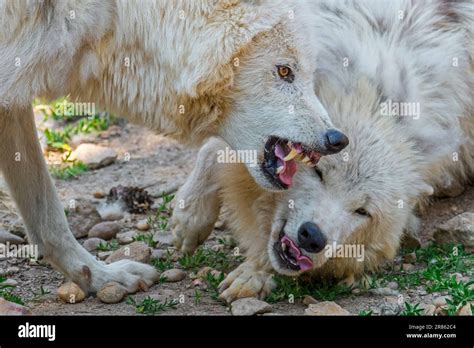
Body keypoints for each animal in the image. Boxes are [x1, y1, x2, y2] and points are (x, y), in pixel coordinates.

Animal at [0, 0, 348, 294]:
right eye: (284, 71)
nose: (338, 139)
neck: (114, 15)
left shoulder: (12, 87)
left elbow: (48, 218)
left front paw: (101, 278)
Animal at [171, 0, 474, 302]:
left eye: (363, 211)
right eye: (318, 172)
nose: (313, 237)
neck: (375, 95)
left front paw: (254, 273)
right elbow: (214, 148)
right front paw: (190, 218)